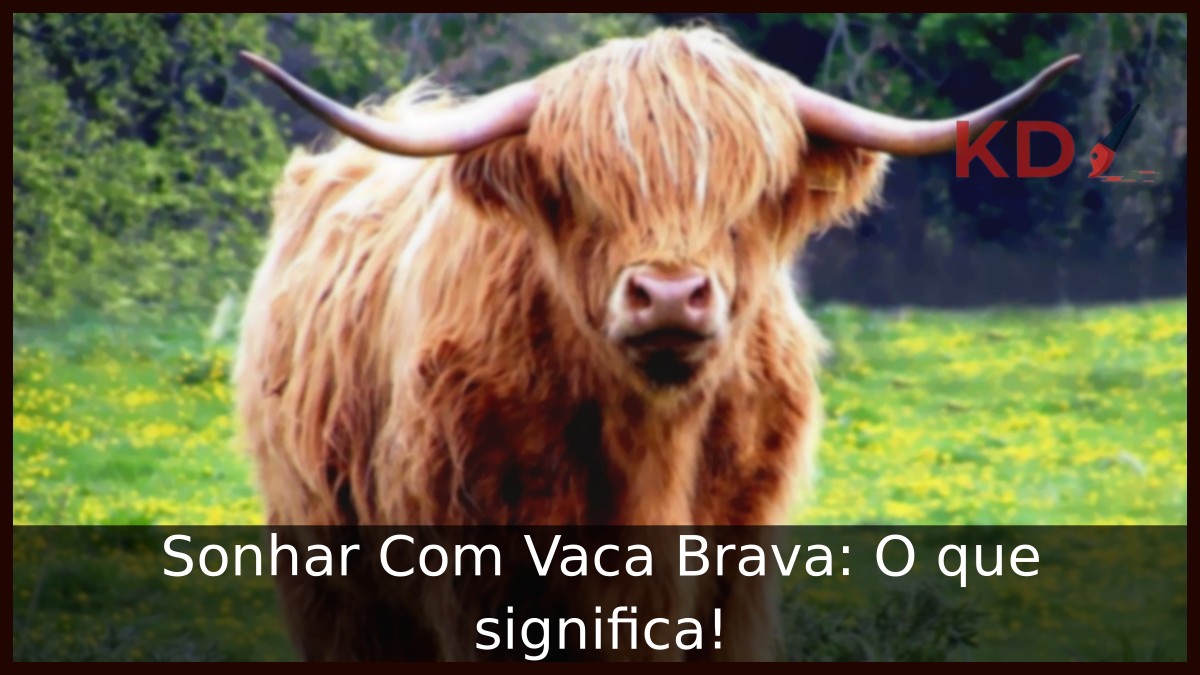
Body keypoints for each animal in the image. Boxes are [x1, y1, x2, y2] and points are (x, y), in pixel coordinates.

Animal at [233, 26, 1077, 661]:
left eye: (752, 193)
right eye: (580, 188)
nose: (670, 294)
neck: (652, 449)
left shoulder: (736, 574)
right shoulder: (479, 580)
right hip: (329, 578)